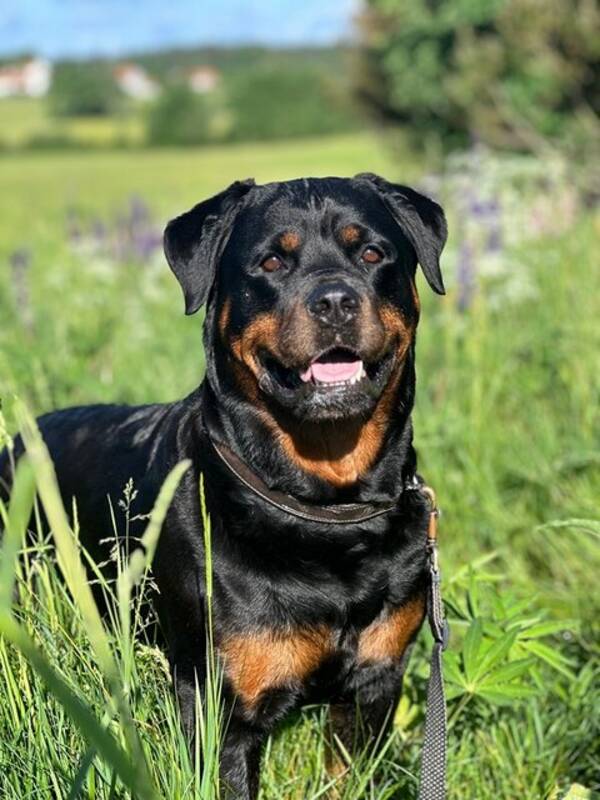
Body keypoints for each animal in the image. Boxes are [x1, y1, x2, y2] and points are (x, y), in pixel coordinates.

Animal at [0, 177, 448, 800]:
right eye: (272, 262)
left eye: (372, 253)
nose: (335, 300)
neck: (325, 507)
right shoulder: (220, 705)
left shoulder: (373, 684)